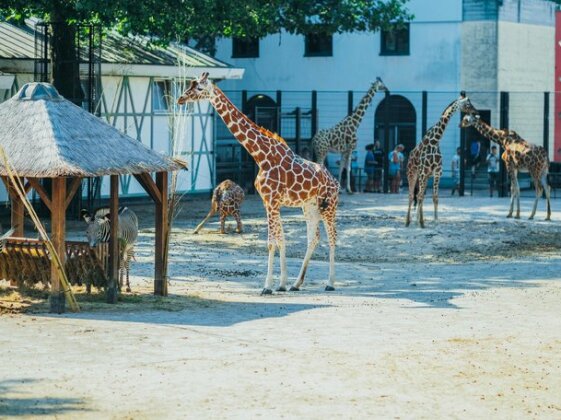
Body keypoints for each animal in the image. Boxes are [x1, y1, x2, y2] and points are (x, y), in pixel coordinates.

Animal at [177, 73, 340, 296]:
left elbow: (271, 242)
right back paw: (296, 284)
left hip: (329, 204)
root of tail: (334, 180)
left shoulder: (272, 201)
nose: (181, 98)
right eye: (191, 84)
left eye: (200, 88)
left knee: (332, 237)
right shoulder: (269, 202)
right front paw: (282, 284)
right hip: (310, 205)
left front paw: (267, 287)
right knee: (313, 237)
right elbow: (280, 239)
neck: (261, 156)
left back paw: (330, 283)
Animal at [404, 93, 474, 228]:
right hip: (412, 173)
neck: (435, 141)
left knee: (419, 195)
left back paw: (416, 220)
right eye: (468, 104)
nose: (476, 111)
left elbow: (435, 197)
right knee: (411, 195)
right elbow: (419, 196)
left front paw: (435, 220)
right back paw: (408, 221)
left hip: (424, 176)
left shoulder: (437, 172)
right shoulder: (423, 171)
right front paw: (421, 222)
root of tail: (409, 156)